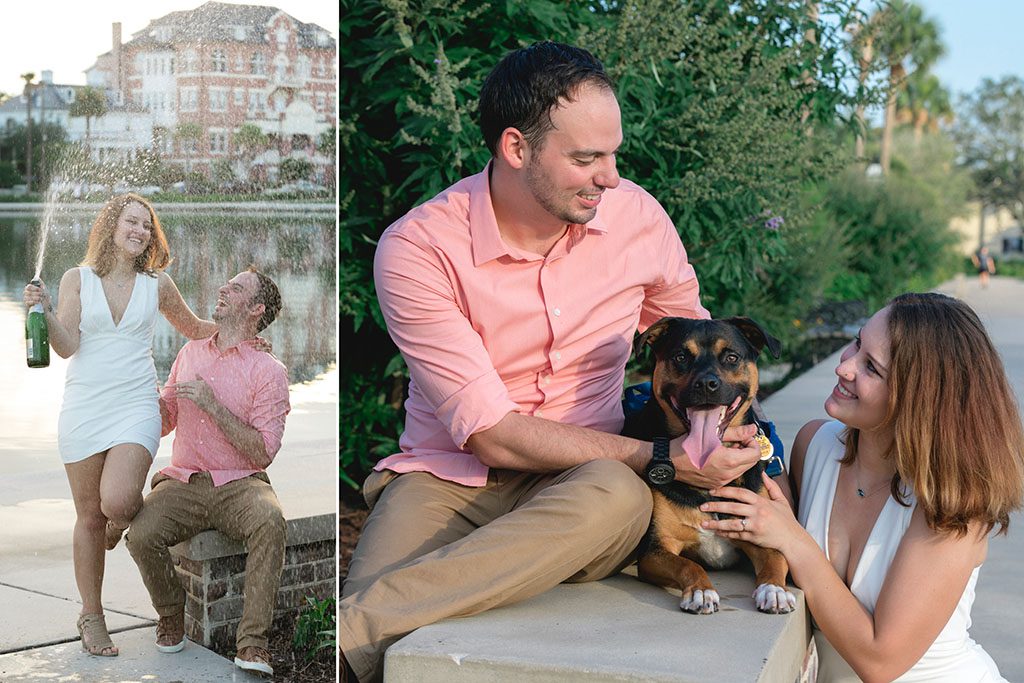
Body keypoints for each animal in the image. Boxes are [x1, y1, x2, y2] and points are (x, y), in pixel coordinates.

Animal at [618, 317, 794, 618]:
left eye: (732, 357)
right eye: (680, 357)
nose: (707, 384)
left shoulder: (760, 531)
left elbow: (775, 556)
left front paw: (775, 590)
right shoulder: (656, 550)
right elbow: (689, 564)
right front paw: (701, 591)